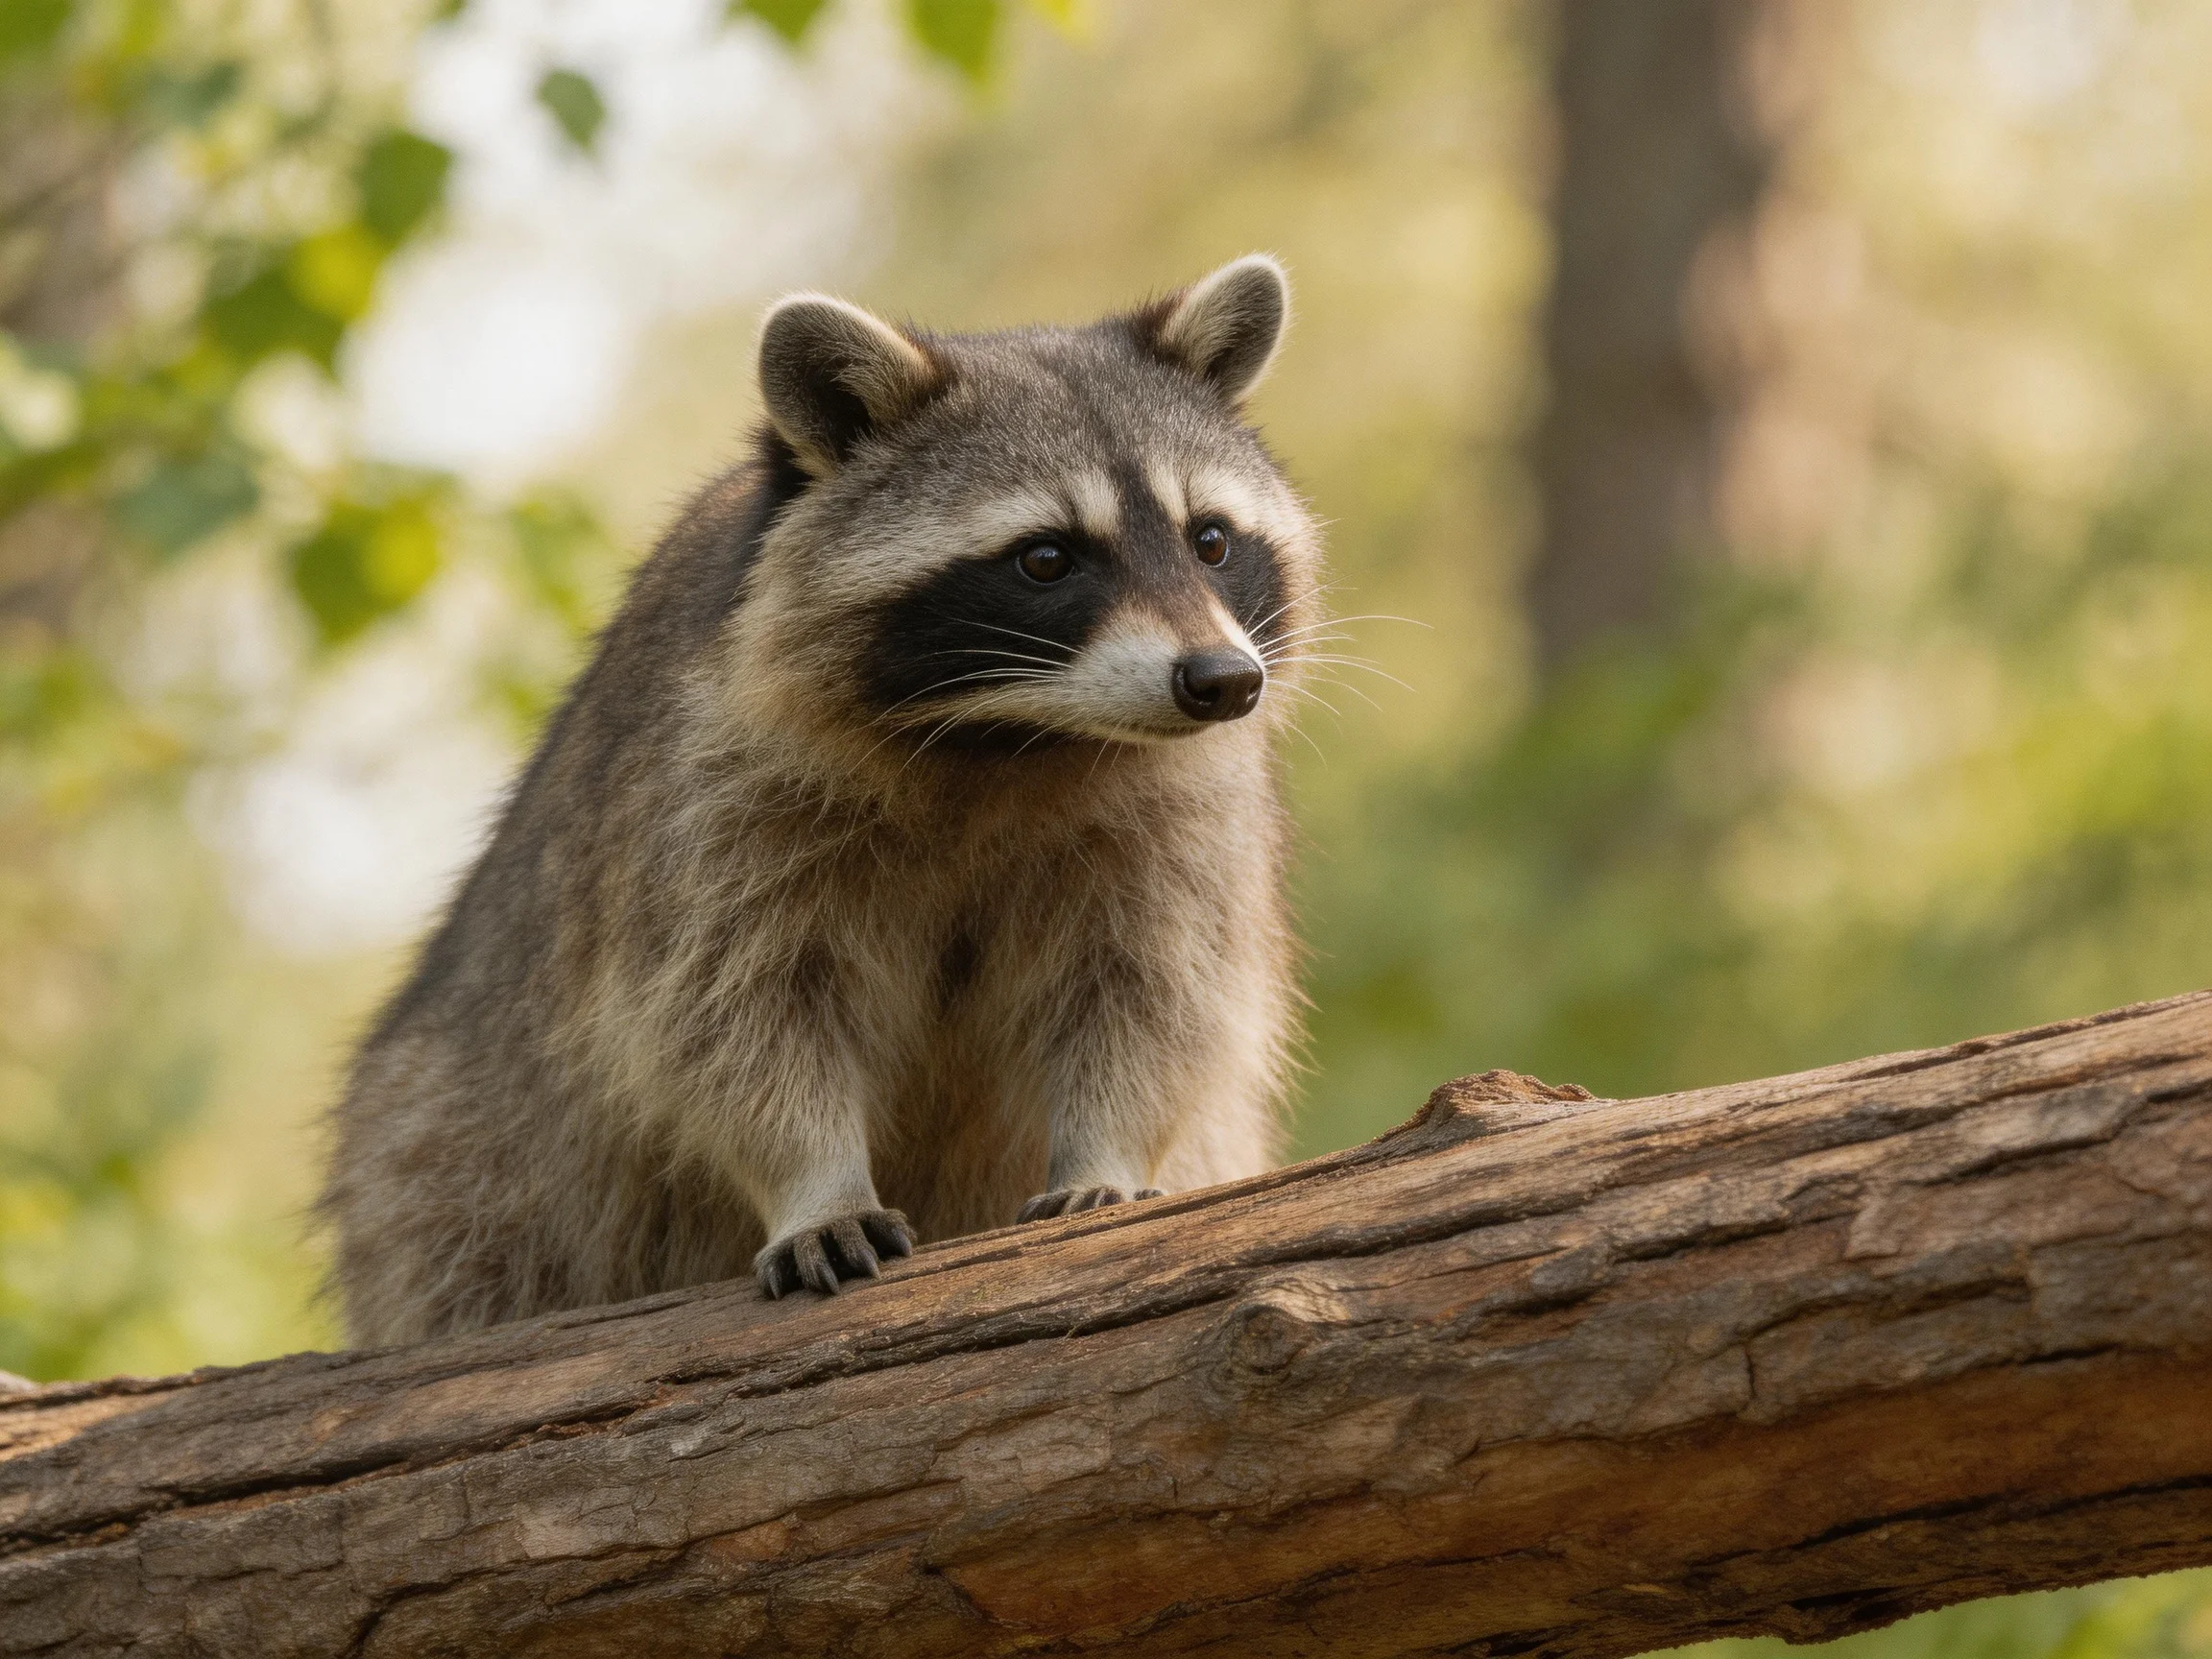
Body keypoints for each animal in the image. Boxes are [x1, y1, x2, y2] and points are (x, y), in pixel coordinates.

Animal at [322, 255, 1323, 1344]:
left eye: (1212, 540)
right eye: (1047, 558)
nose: (1223, 682)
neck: (1015, 731)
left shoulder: (1183, 818)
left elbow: (1155, 995)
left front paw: (1105, 1152)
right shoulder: (709, 795)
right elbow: (732, 1016)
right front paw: (816, 1185)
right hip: (443, 1156)